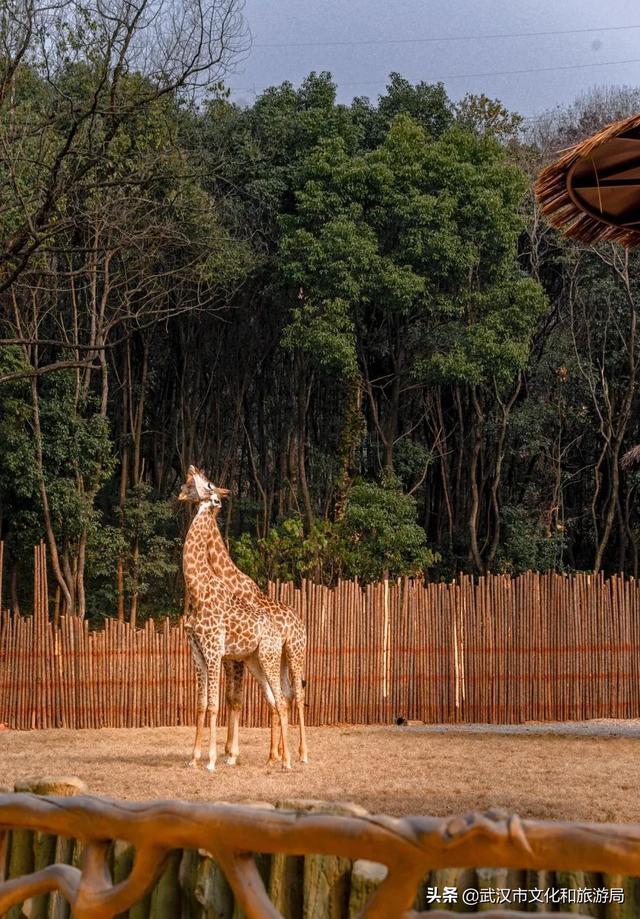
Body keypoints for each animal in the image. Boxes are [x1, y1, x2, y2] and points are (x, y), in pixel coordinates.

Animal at [179, 464, 308, 764]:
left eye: (208, 483)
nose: (192, 467)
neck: (199, 587)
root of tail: (300, 621)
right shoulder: (200, 652)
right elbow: (204, 704)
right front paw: (199, 756)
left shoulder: (219, 652)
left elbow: (224, 701)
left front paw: (221, 756)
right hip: (263, 660)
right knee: (280, 696)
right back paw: (276, 755)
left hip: (293, 653)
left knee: (295, 695)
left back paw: (299, 754)